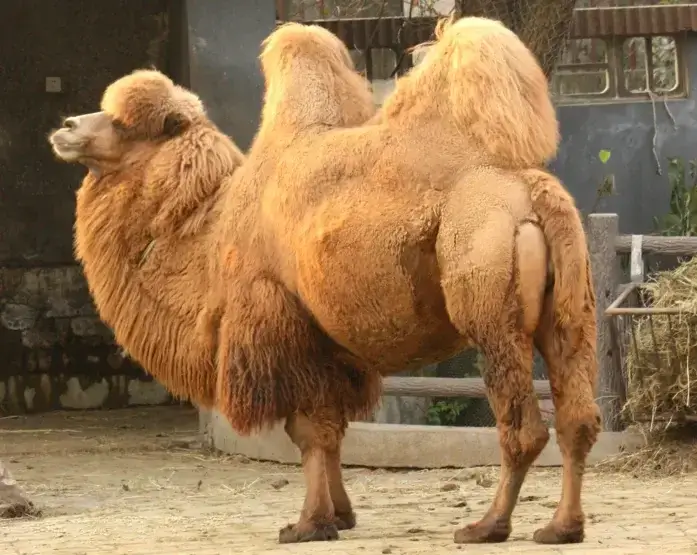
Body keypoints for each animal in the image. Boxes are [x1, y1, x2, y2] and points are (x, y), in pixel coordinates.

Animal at [48, 16, 600, 546]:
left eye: (123, 124)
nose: (66, 127)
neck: (210, 234)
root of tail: (532, 190)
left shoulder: (279, 323)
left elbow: (307, 431)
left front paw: (308, 523)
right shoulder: (329, 342)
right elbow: (332, 431)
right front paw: (342, 514)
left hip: (489, 304)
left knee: (523, 427)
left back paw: (488, 526)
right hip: (570, 313)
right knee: (577, 419)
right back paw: (561, 527)